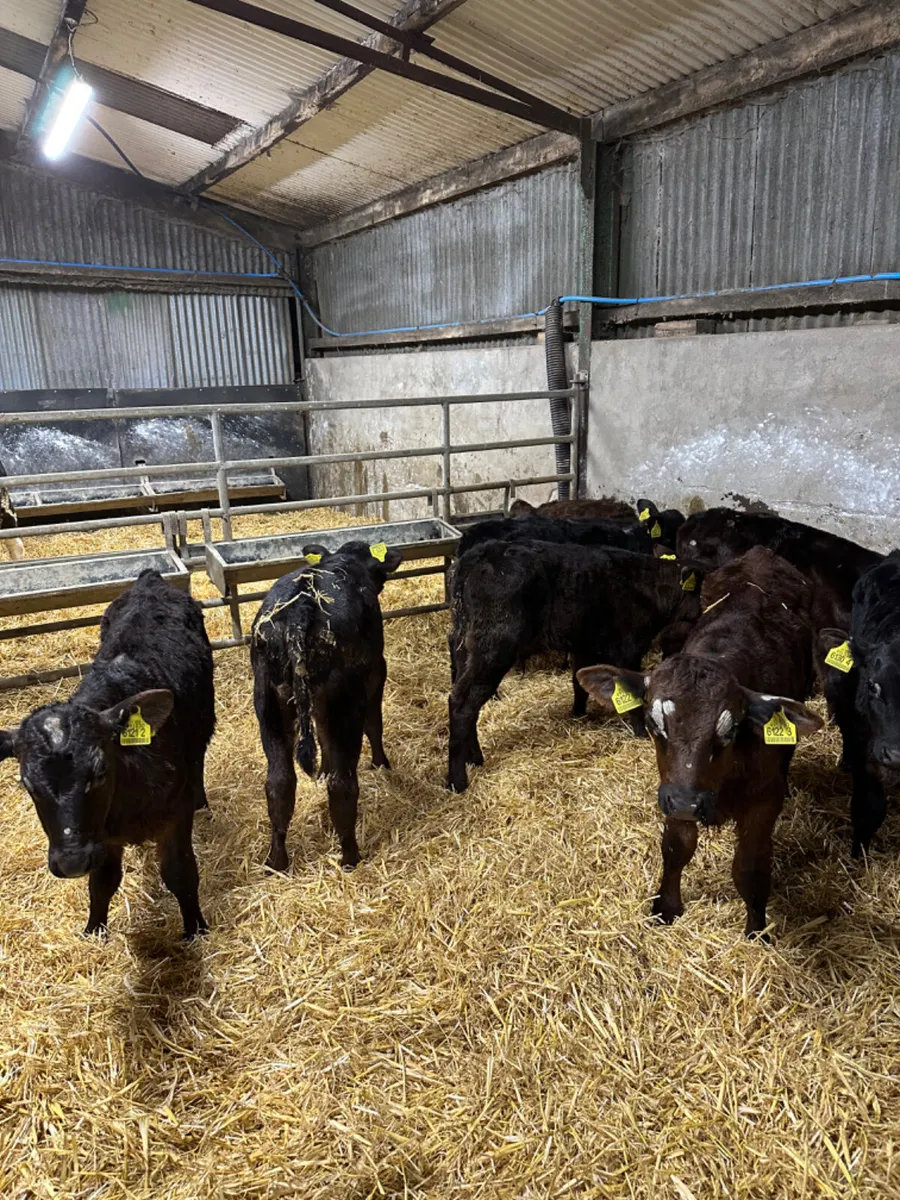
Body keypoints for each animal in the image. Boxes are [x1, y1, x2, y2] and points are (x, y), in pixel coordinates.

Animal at [0, 570, 215, 938]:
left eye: (99, 773)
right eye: (28, 786)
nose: (71, 862)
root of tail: (149, 579)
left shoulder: (175, 814)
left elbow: (180, 873)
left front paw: (196, 930)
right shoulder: (102, 838)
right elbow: (102, 883)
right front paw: (94, 931)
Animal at [251, 539, 402, 872]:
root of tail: (301, 612)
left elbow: (322, 736)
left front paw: (321, 770)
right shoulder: (377, 673)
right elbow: (374, 723)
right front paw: (381, 763)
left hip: (269, 702)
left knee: (279, 783)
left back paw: (276, 861)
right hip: (344, 704)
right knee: (342, 784)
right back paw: (350, 857)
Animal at [447, 542, 703, 792]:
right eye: (700, 590)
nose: (703, 613)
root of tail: (479, 554)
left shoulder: (582, 645)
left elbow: (578, 683)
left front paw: (578, 713)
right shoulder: (630, 648)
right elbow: (634, 697)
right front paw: (641, 732)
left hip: (463, 648)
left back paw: (474, 758)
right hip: (493, 648)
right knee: (463, 703)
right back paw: (457, 781)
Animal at [578, 546, 822, 938]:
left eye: (731, 730)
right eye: (653, 724)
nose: (688, 803)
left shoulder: (763, 800)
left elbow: (750, 868)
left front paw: (757, 929)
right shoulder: (673, 786)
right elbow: (676, 847)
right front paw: (666, 907)